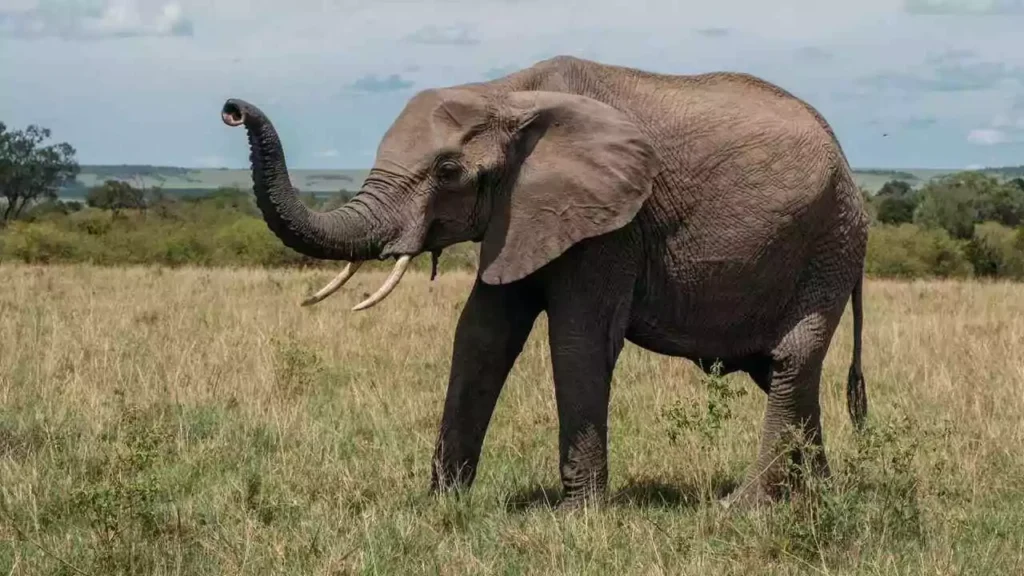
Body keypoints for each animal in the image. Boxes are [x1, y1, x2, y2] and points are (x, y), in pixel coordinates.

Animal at [219, 54, 869, 508]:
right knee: (784, 374)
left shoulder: (615, 222)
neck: (508, 91)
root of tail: (845, 160)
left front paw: (579, 516)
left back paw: (746, 509)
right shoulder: (522, 212)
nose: (231, 107)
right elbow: (481, 335)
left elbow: (578, 340)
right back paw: (815, 499)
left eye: (449, 171)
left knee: (790, 361)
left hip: (828, 241)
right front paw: (440, 507)